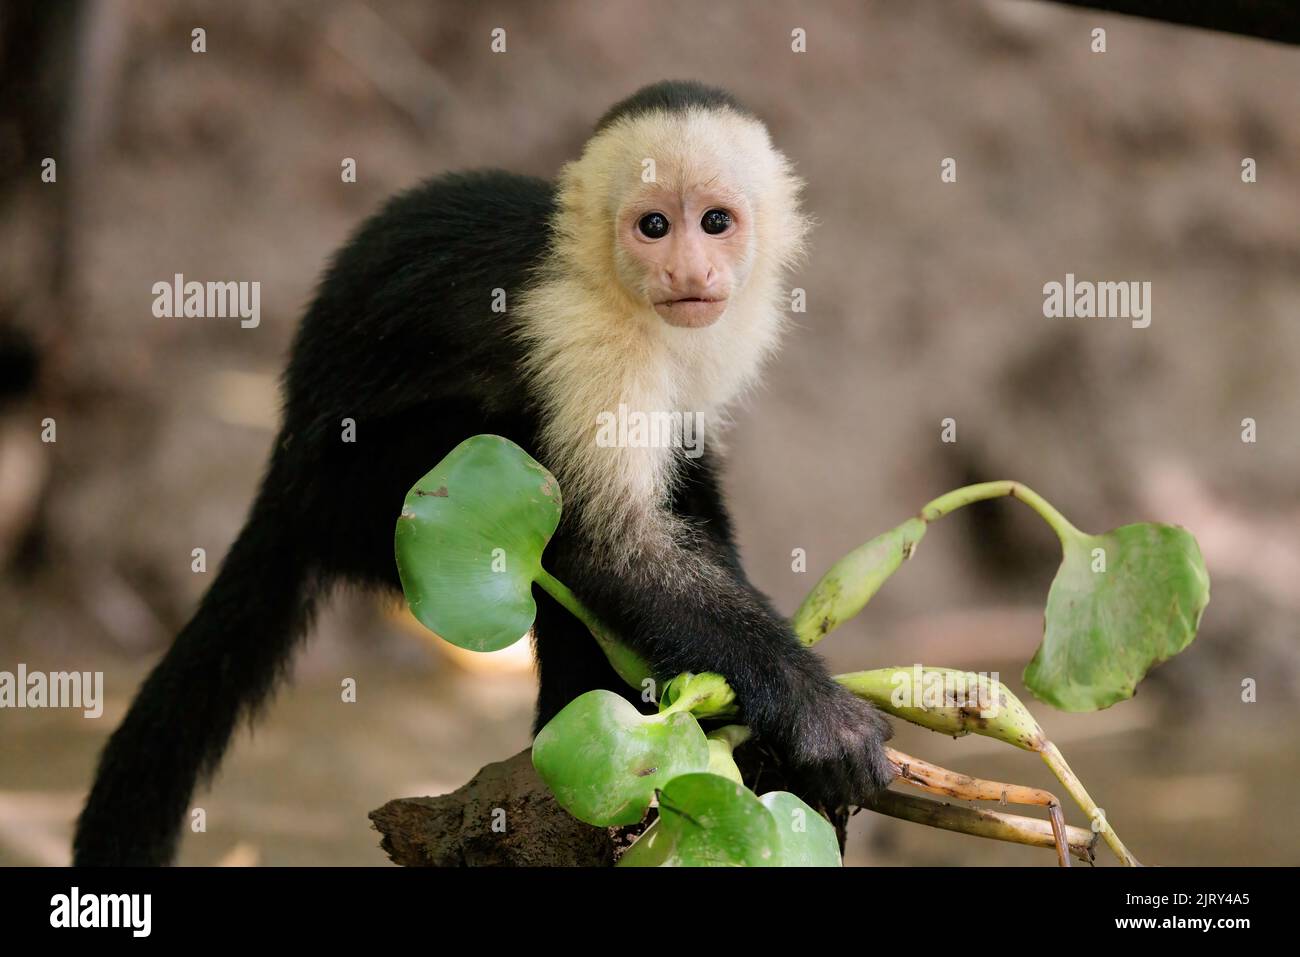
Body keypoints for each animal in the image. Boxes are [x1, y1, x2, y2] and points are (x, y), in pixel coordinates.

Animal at [76, 78, 894, 863]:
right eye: (654, 225)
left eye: (716, 222)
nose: (688, 268)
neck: (616, 289)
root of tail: (284, 471)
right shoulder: (585, 336)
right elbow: (611, 549)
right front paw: (817, 715)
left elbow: (685, 474)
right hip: (370, 495)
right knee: (537, 503)